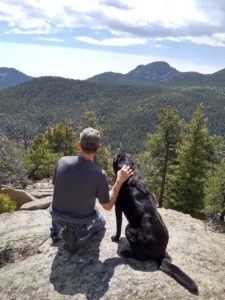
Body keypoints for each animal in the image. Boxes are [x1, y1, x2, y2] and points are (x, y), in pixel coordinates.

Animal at [111, 154, 198, 294]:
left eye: (118, 156)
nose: (116, 154)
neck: (130, 172)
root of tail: (161, 254)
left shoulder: (117, 206)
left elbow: (118, 225)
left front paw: (115, 238)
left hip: (130, 229)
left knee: (140, 256)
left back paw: (126, 253)